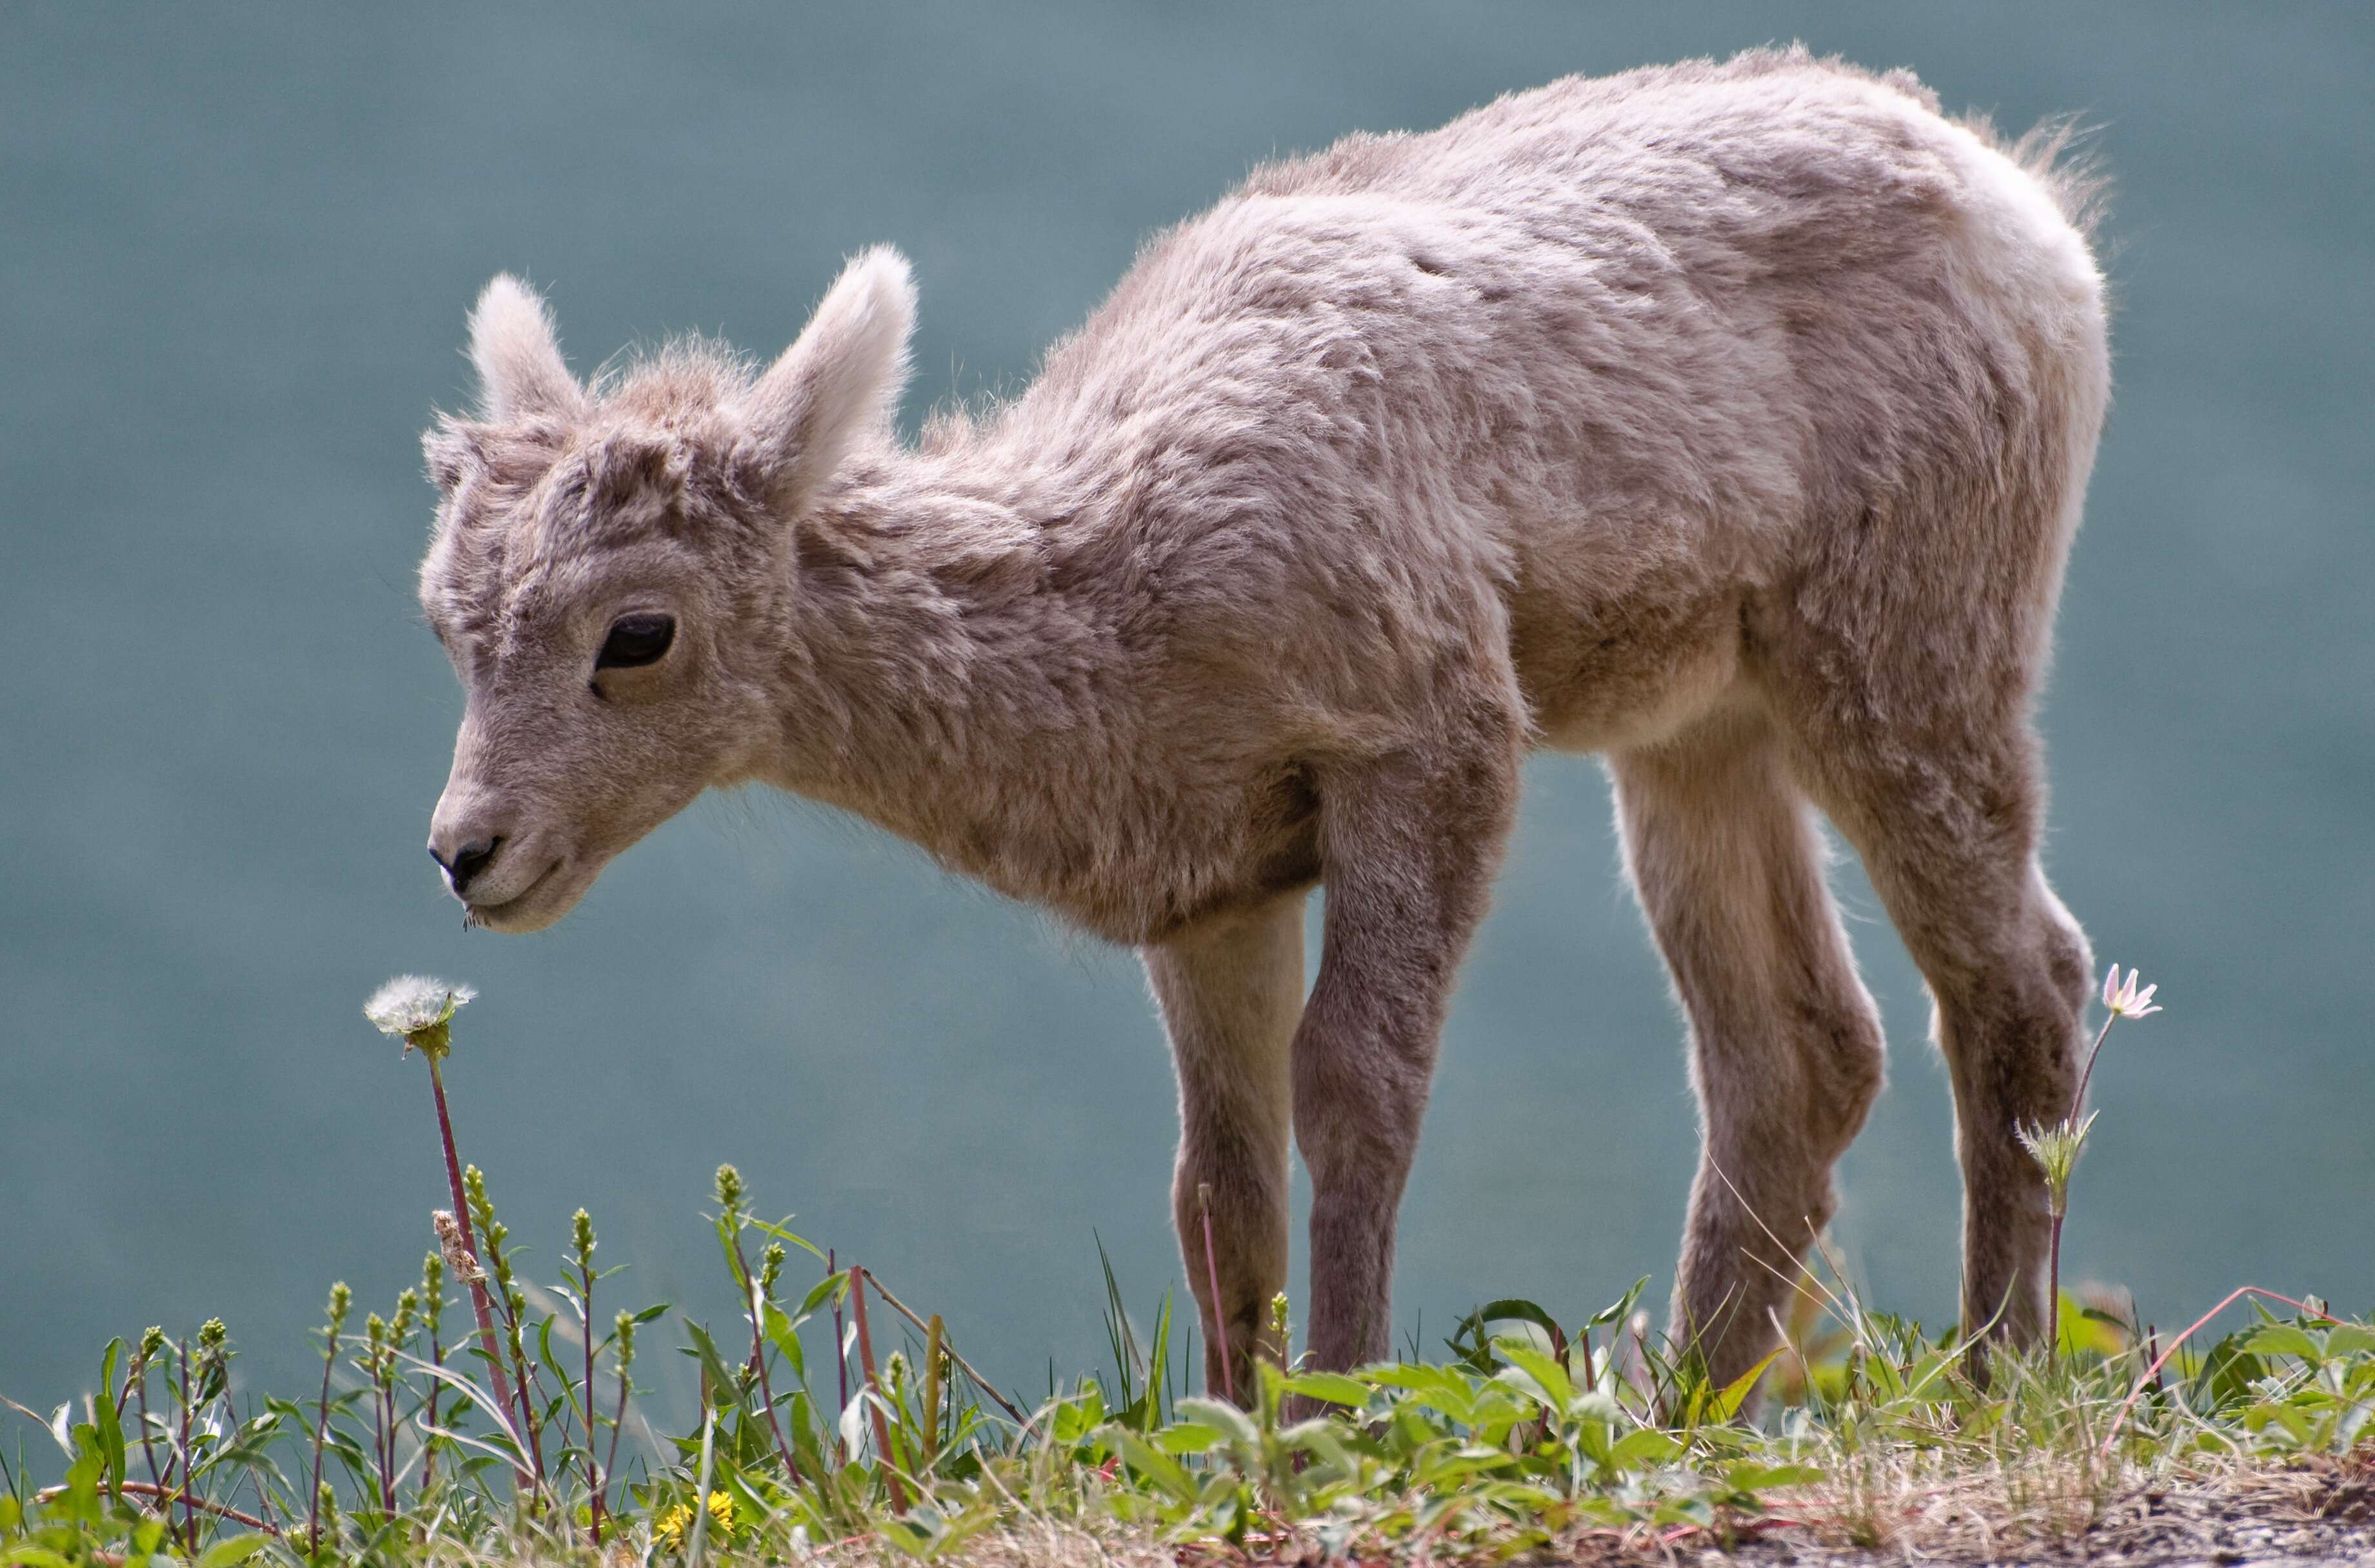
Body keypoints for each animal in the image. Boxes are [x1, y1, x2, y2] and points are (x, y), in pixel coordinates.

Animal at [418, 48, 2108, 1396]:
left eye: (637, 633)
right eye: (443, 615)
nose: (467, 853)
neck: (1121, 588)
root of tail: (2033, 217)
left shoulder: (1428, 743)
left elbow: (1354, 1089)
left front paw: (1349, 1411)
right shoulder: (1213, 878)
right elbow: (1214, 1183)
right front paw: (1250, 1436)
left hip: (1904, 651)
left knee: (2019, 978)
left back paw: (1991, 1378)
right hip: (1696, 727)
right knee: (1795, 1057)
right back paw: (1689, 1405)